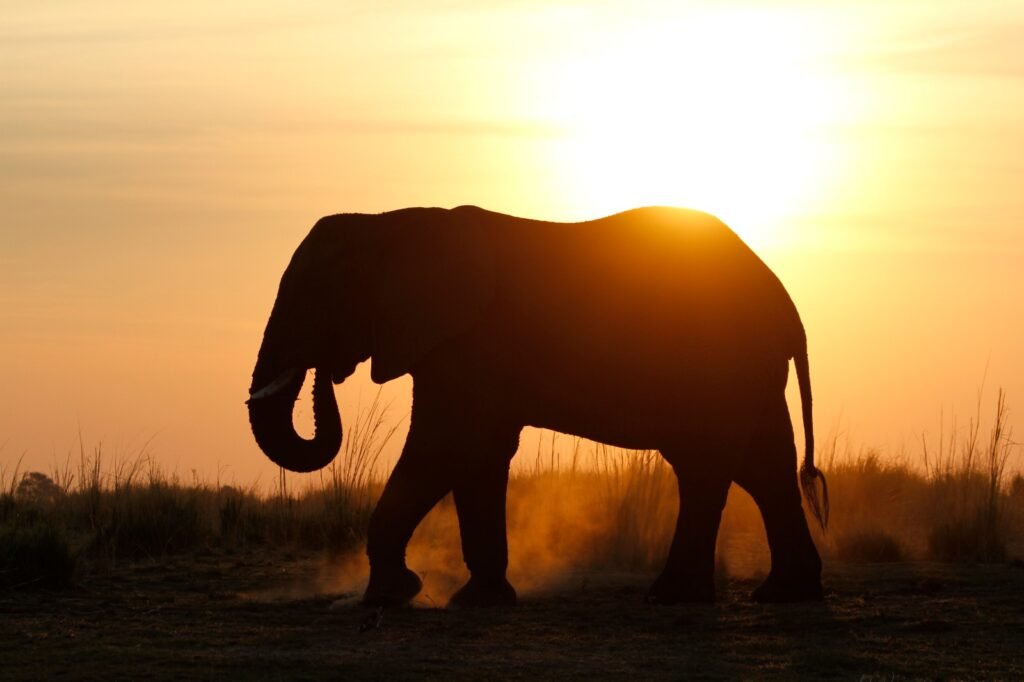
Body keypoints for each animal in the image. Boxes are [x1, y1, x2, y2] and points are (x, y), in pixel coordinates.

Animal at [247, 205, 828, 607]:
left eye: (316, 298)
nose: (325, 373)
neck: (393, 223)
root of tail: (790, 308)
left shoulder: (469, 343)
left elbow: (446, 447)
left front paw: (393, 596)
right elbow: (478, 455)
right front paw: (477, 602)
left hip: (720, 365)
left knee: (706, 467)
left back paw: (671, 598)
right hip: (747, 374)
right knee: (764, 468)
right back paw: (783, 595)